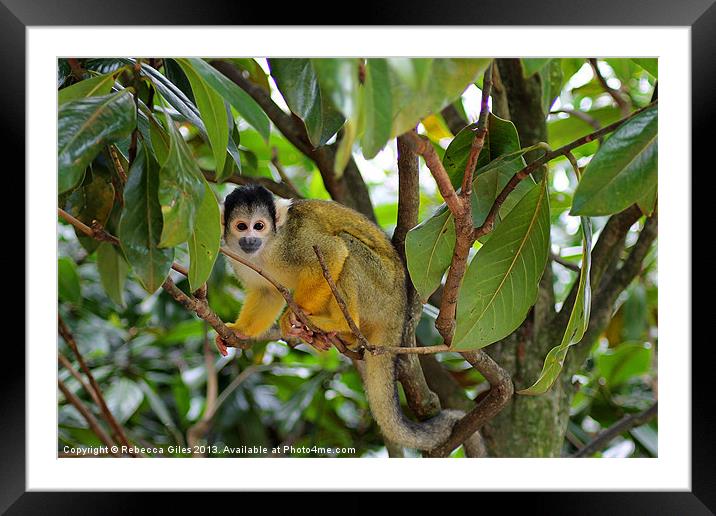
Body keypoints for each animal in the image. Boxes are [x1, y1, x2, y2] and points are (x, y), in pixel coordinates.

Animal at [218, 186, 462, 452]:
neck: (267, 247)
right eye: (242, 226)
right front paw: (239, 331)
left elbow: (332, 252)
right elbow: (267, 293)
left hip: (381, 292)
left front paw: (294, 314)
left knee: (347, 245)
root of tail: (399, 311)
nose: (249, 239)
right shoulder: (238, 257)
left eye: (259, 226)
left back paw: (340, 325)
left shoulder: (295, 239)